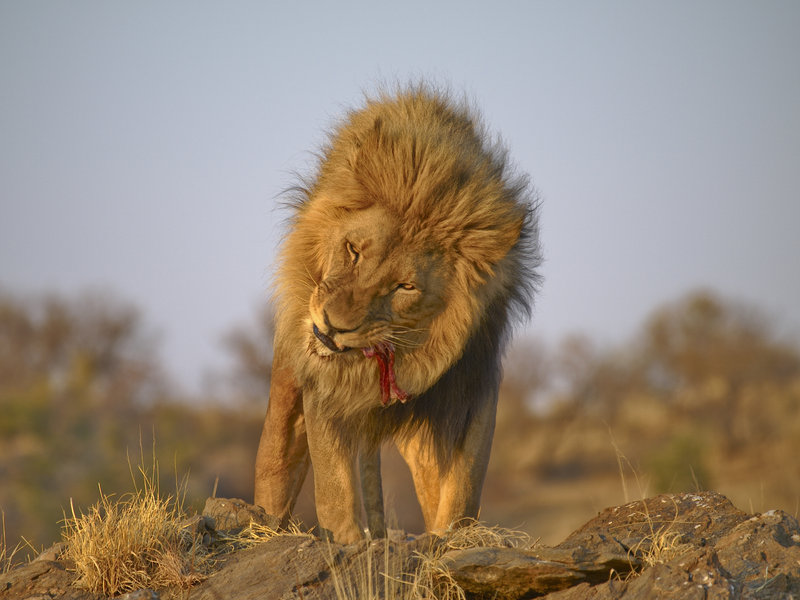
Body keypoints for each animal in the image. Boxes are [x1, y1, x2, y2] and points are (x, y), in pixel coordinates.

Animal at [254, 85, 541, 543]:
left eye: (405, 287)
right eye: (354, 250)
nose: (333, 326)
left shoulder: (474, 387)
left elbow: (463, 490)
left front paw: (453, 540)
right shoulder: (324, 389)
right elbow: (334, 490)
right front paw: (349, 543)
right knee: (275, 465)